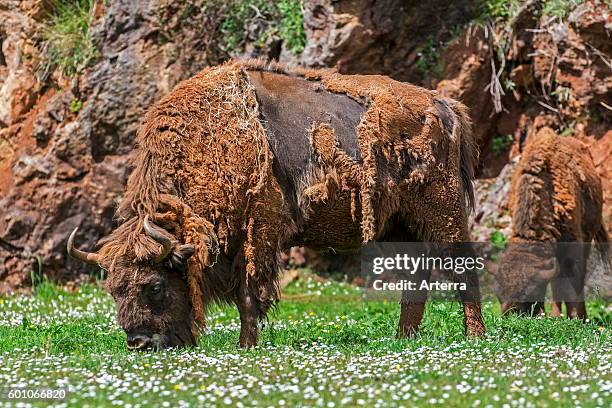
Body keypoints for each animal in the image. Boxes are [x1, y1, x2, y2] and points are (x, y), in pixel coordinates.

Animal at [67, 59, 486, 350]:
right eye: (114, 289)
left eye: (154, 286)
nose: (139, 343)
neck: (207, 141)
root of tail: (447, 106)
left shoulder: (259, 230)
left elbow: (249, 293)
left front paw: (246, 345)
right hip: (399, 224)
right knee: (415, 278)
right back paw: (403, 338)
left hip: (443, 212)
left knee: (461, 270)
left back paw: (474, 336)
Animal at [494, 127, 608, 318]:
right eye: (499, 294)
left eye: (529, 293)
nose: (510, 317)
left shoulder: (573, 248)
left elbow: (573, 285)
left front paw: (578, 317)